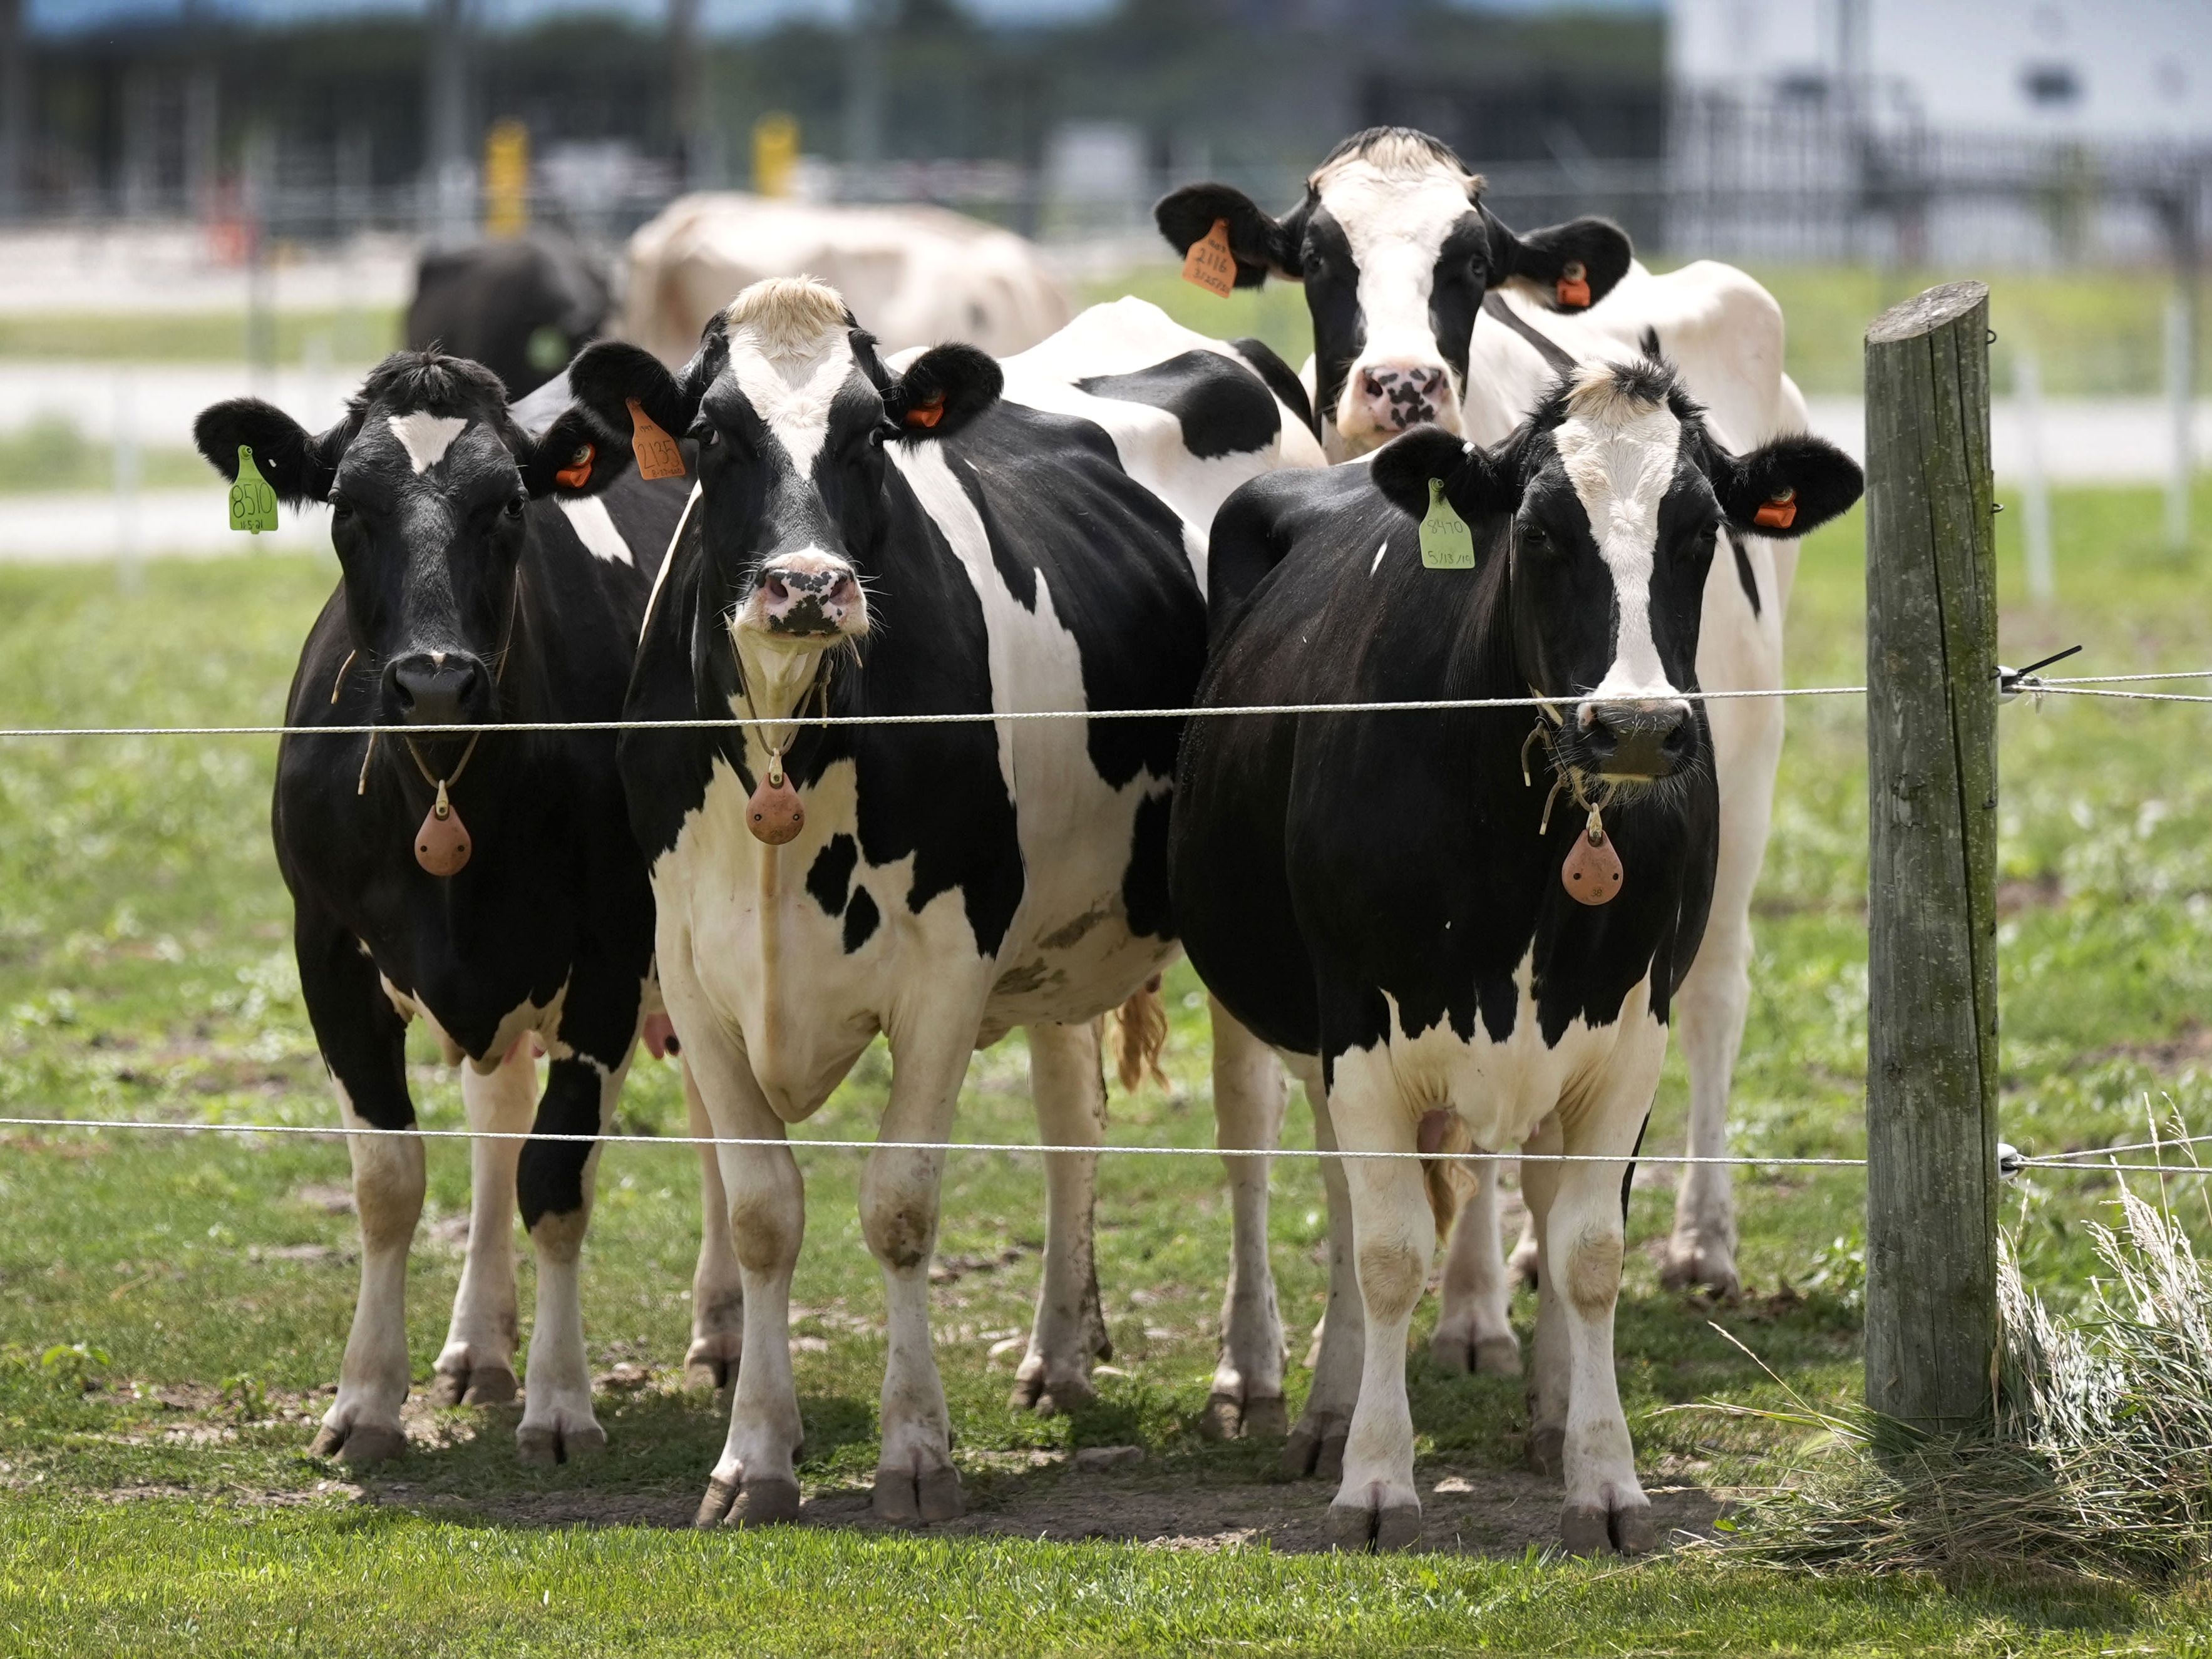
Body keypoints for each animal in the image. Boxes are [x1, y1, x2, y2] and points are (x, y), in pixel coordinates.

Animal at [192, 349, 690, 1466]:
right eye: (347, 504)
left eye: (507, 504)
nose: (431, 680)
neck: (448, 788)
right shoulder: (326, 946)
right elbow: (391, 1180)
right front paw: (366, 1401)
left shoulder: (611, 952)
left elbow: (558, 1179)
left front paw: (561, 1402)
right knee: (496, 1121)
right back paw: (478, 1347)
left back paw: (720, 1339)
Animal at [561, 276, 1209, 1526]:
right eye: (711, 431)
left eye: (870, 433)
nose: (807, 585)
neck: (785, 739)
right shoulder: (695, 974)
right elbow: (763, 1213)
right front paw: (753, 1458)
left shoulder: (948, 969)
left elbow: (900, 1206)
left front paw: (914, 1453)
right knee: (1072, 1119)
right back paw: (1060, 1352)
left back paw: (1271, 1382)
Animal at [1156, 128, 1815, 1350]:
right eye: (1317, 258)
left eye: (1467, 264)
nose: (1400, 384)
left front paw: (1471, 1313)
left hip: (1748, 768)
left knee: (1713, 992)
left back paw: (1699, 1237)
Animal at [1169, 359, 1862, 1552]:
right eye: (1537, 531)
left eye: (1699, 531)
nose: (1636, 726)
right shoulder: (1359, 1026)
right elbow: (1387, 1251)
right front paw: (1374, 1478)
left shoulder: (1629, 1032)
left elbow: (1588, 1251)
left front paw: (1603, 1475)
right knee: (1342, 1197)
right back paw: (1327, 1410)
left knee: (1529, 1191)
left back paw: (1545, 1408)